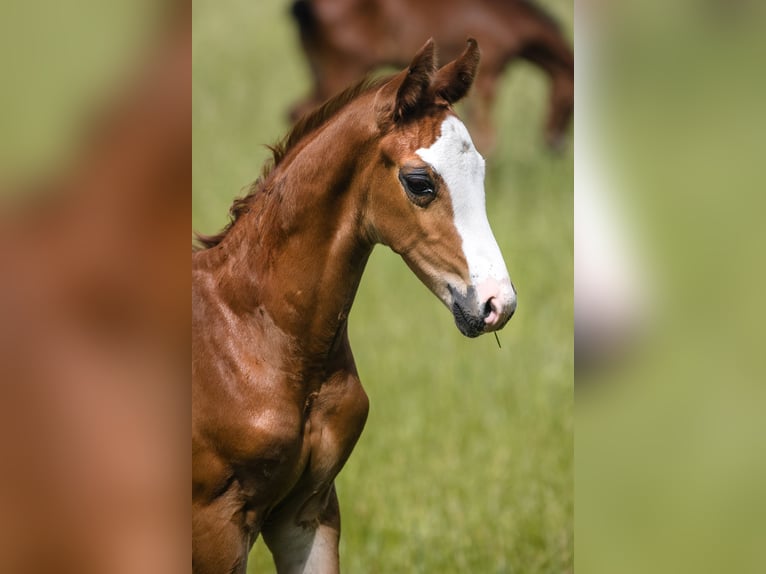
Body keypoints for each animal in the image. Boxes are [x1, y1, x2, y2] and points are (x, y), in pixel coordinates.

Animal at [292, 0, 572, 153]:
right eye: (570, 106)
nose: (556, 145)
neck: (508, 17)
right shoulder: (488, 75)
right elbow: (487, 138)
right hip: (345, 68)